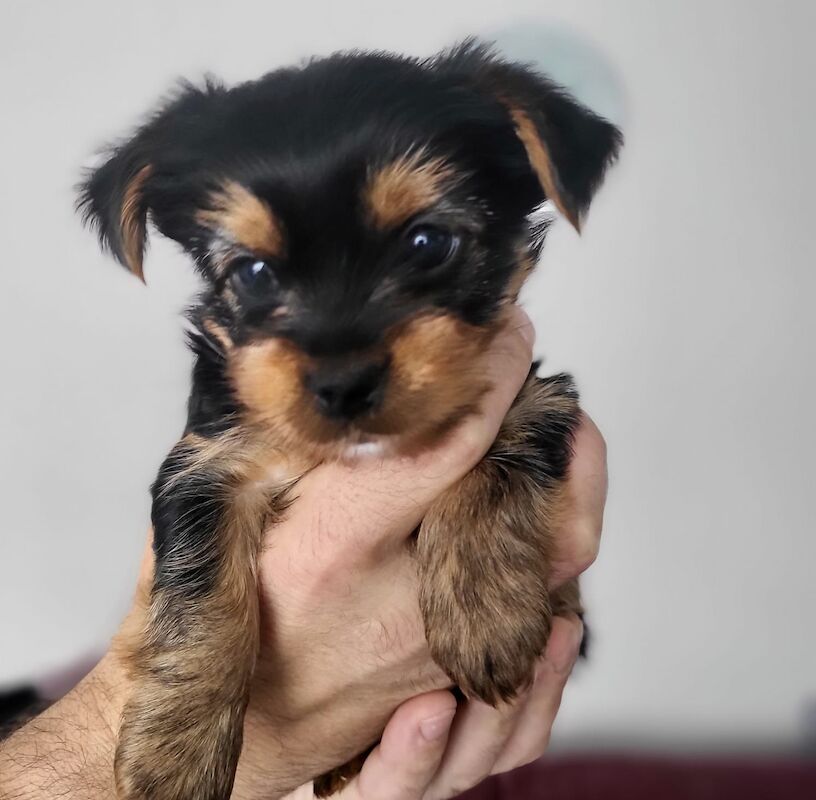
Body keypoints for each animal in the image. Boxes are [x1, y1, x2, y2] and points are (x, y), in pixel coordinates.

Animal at [79, 39, 620, 800]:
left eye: (428, 244)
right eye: (251, 274)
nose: (342, 383)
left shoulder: (534, 394)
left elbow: (499, 457)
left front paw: (486, 610)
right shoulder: (207, 465)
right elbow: (199, 588)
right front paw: (174, 749)